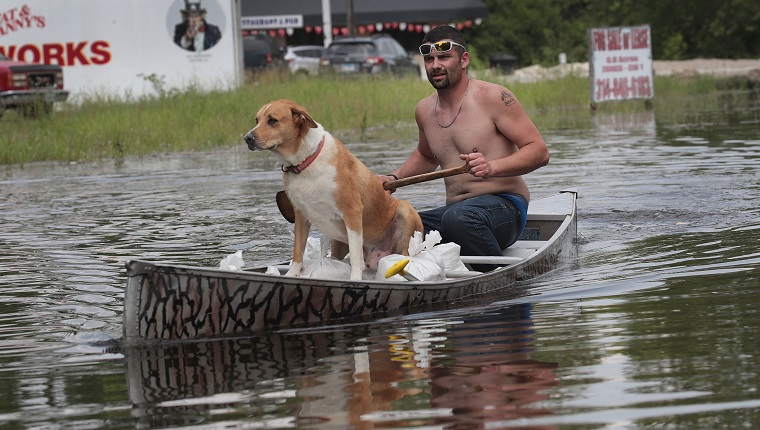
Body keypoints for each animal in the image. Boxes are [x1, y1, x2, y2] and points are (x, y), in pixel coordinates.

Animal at [243, 99, 422, 280]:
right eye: (257, 120)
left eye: (272, 120)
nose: (247, 138)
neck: (305, 163)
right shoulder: (301, 215)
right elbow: (298, 251)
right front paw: (291, 274)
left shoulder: (352, 212)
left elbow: (355, 256)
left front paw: (355, 279)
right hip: (339, 243)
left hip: (405, 212)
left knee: (403, 255)